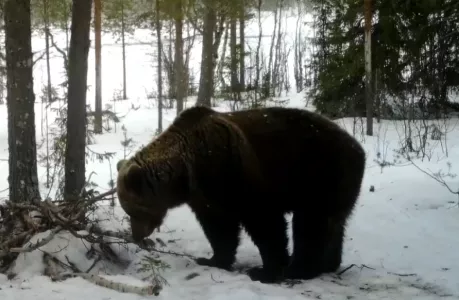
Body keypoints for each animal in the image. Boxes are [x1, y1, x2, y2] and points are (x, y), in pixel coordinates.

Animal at [116, 105, 366, 284]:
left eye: (133, 211)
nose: (136, 236)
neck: (186, 172)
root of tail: (358, 148)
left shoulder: (234, 174)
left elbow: (265, 223)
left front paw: (266, 270)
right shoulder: (206, 197)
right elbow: (219, 229)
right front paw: (212, 259)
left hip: (320, 173)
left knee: (311, 223)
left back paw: (299, 269)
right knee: (334, 223)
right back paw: (329, 264)